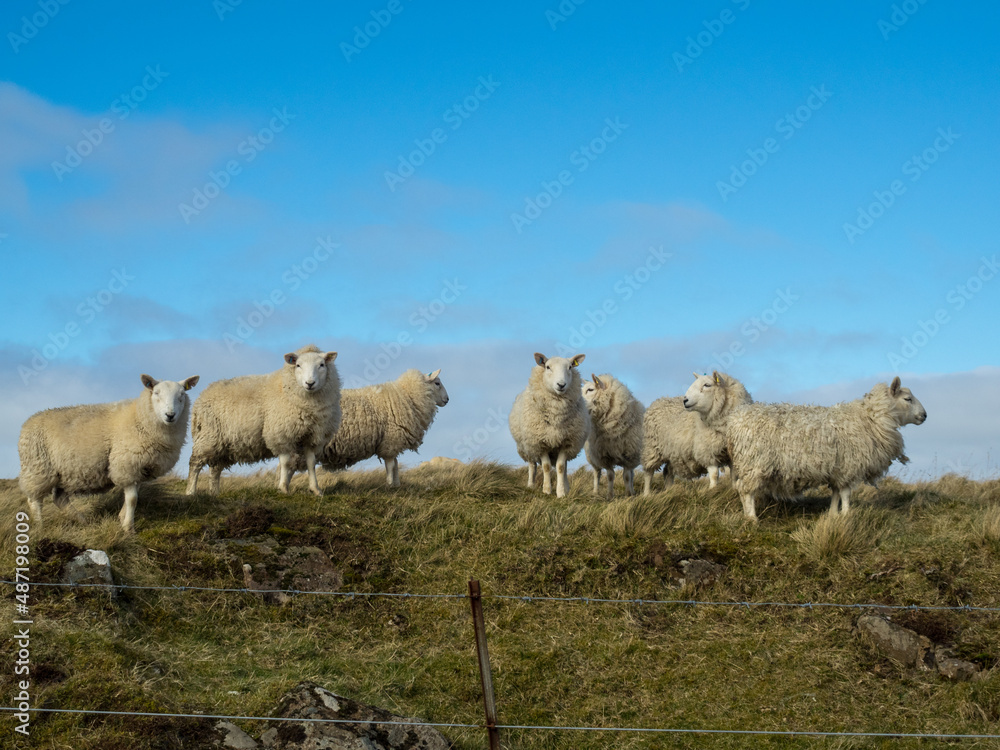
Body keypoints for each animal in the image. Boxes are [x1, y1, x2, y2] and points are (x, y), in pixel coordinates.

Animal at [18, 374, 200, 533]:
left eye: (182, 395)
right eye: (156, 393)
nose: (170, 415)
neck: (139, 418)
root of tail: (27, 423)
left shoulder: (139, 468)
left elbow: (133, 496)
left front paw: (122, 517)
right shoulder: (126, 464)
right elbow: (132, 499)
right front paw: (128, 528)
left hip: (65, 474)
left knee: (59, 499)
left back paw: (82, 520)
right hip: (37, 469)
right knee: (34, 500)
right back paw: (40, 526)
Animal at [185, 345, 340, 497]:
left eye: (322, 365)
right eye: (298, 365)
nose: (310, 383)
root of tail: (203, 393)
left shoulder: (313, 437)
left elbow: (311, 463)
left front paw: (316, 489)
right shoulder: (280, 434)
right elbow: (285, 463)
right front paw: (283, 488)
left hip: (223, 445)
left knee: (215, 470)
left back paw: (214, 493)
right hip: (208, 436)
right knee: (195, 463)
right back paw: (190, 492)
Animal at [292, 369, 449, 488]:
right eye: (437, 383)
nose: (447, 399)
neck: (407, 396)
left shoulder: (391, 443)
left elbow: (395, 464)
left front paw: (397, 485)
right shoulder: (390, 441)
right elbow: (391, 466)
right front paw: (390, 485)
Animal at [508, 352, 589, 498]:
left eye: (570, 367)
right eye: (547, 367)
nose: (561, 384)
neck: (556, 414)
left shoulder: (567, 442)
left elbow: (561, 467)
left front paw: (561, 492)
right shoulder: (540, 443)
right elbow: (545, 466)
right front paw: (546, 490)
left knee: (564, 467)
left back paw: (566, 487)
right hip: (528, 446)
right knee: (532, 465)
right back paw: (531, 485)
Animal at [726, 376, 927, 519]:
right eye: (908, 399)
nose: (924, 415)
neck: (870, 418)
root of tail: (734, 421)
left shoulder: (838, 469)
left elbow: (836, 493)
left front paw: (833, 514)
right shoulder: (849, 466)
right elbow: (845, 494)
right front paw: (846, 514)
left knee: (741, 489)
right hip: (754, 463)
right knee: (745, 490)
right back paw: (752, 518)